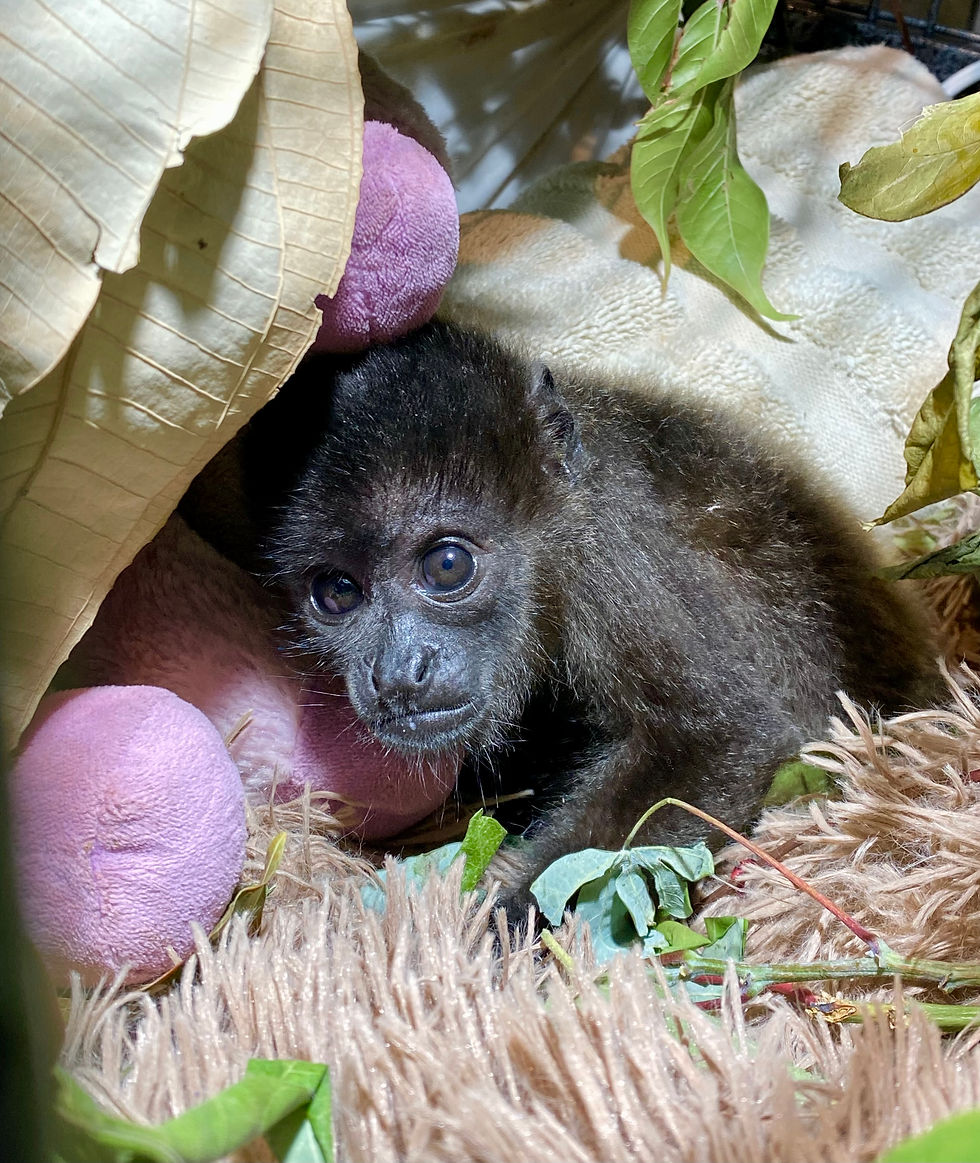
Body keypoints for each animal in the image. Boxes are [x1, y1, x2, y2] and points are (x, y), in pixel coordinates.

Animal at [180, 321, 940, 922]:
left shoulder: (616, 550)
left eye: (447, 565)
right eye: (336, 592)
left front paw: (506, 926)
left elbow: (725, 732)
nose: (397, 672)